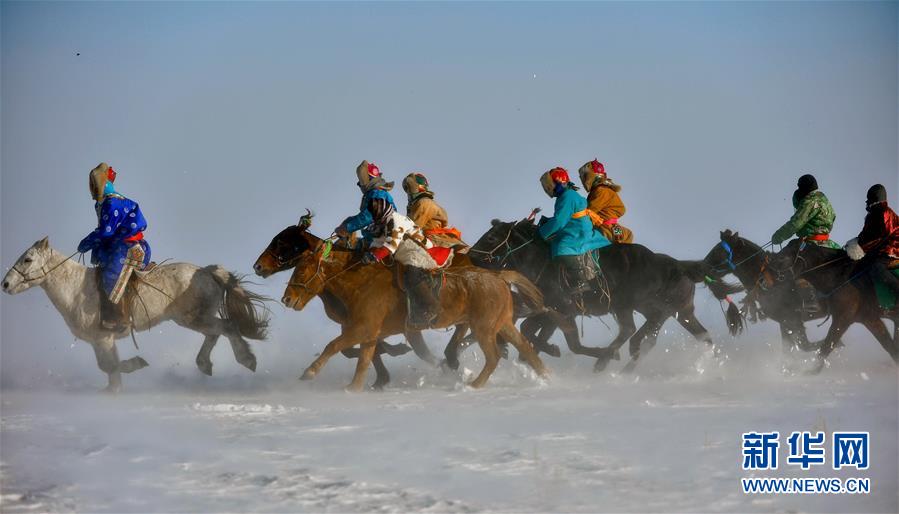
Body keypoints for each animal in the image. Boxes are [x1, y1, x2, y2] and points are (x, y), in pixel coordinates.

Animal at [1, 238, 272, 390]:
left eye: (27, 259)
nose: (5, 284)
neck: (77, 289)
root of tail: (206, 271)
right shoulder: (100, 341)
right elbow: (107, 366)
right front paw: (115, 387)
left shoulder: (103, 339)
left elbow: (109, 366)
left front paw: (123, 379)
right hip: (194, 318)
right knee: (216, 333)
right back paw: (205, 364)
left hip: (193, 318)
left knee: (227, 327)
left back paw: (246, 359)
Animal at [280, 221, 548, 388]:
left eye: (302, 270)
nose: (287, 299)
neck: (359, 280)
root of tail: (499, 276)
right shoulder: (369, 333)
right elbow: (364, 360)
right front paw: (354, 388)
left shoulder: (362, 329)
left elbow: (334, 346)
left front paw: (309, 372)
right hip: (502, 325)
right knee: (526, 348)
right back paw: (546, 376)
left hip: (484, 328)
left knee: (493, 356)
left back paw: (474, 383)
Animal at [460, 218, 740, 370]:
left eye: (492, 237)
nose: (471, 255)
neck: (541, 261)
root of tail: (681, 266)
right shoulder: (552, 312)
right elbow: (534, 332)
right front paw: (534, 354)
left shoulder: (562, 310)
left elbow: (559, 339)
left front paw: (549, 351)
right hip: (679, 312)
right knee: (699, 336)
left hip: (639, 306)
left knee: (634, 332)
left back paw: (608, 360)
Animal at [768, 238, 899, 370]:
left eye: (781, 259)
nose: (765, 281)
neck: (841, 278)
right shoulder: (869, 319)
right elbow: (891, 348)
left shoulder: (843, 319)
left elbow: (824, 349)